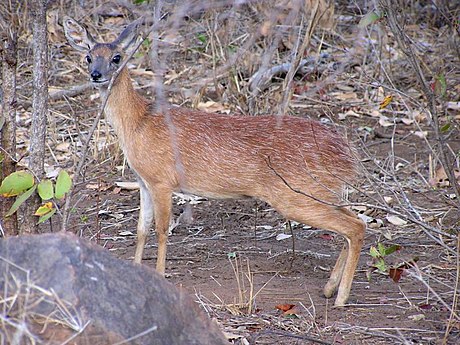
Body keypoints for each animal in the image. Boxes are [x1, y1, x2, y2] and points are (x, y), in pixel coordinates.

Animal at [63, 16, 366, 306]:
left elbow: (162, 230)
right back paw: (329, 288)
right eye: (88, 56)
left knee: (355, 227)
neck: (138, 123)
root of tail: (346, 153)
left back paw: (341, 298)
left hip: (295, 195)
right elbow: (141, 229)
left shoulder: (162, 180)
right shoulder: (143, 181)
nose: (96, 75)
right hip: (321, 191)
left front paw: (159, 276)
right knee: (355, 219)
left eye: (117, 57)